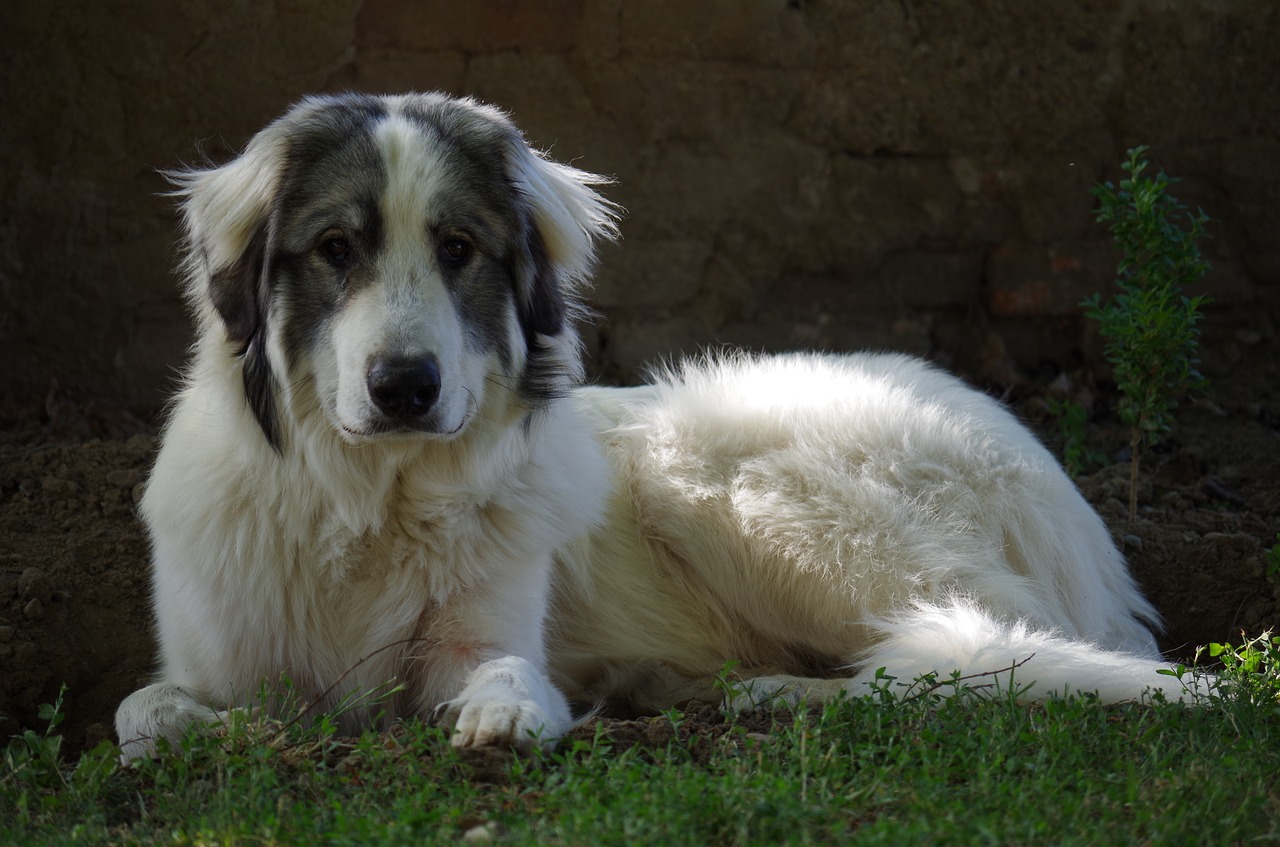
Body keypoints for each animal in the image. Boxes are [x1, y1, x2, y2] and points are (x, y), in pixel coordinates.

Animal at [117, 92, 1187, 762]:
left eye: (458, 249)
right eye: (336, 248)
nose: (405, 386)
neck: (371, 501)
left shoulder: (486, 631)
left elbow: (506, 668)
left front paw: (505, 714)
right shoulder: (212, 660)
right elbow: (143, 709)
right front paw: (208, 732)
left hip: (726, 476)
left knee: (973, 649)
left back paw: (769, 693)